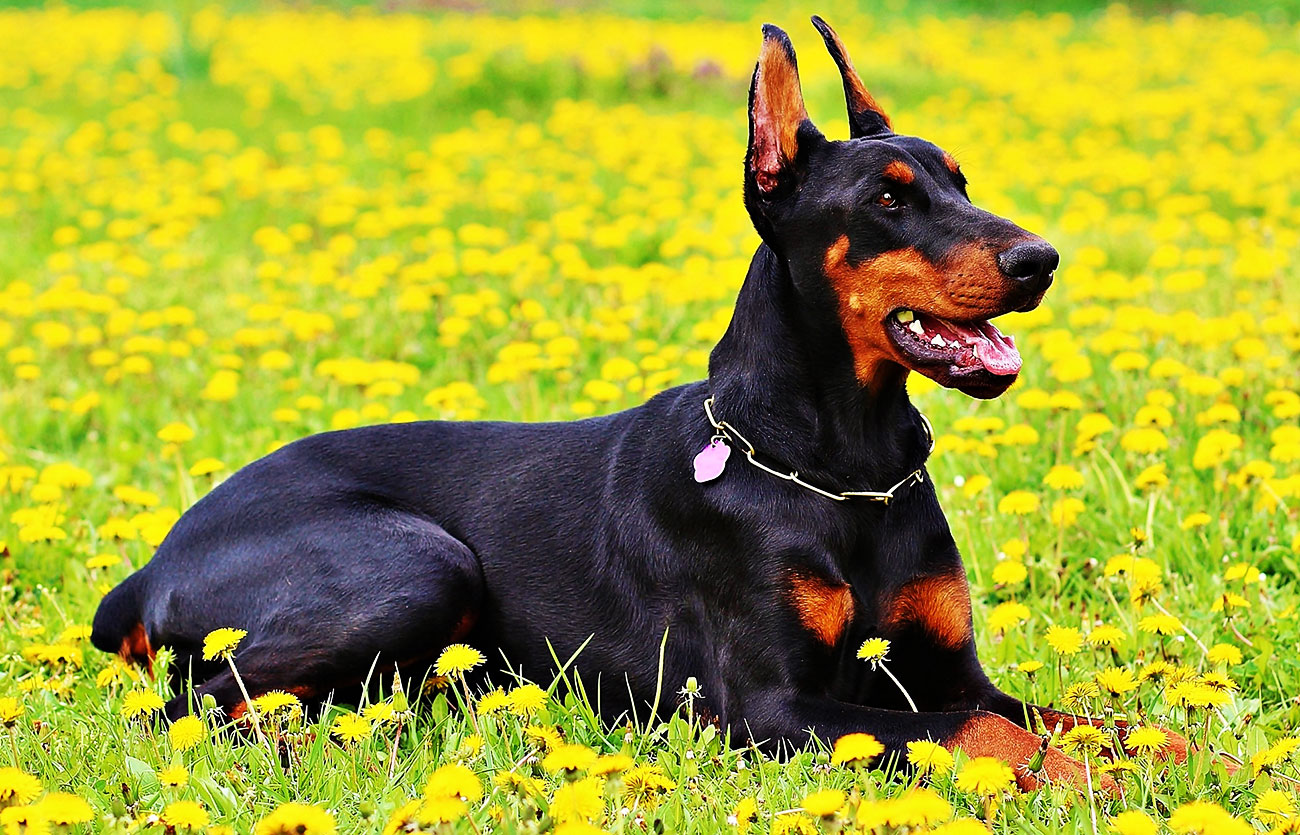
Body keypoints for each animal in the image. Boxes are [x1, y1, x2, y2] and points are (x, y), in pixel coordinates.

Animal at [94, 17, 1190, 785]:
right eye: (888, 198)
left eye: (961, 181)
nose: (1040, 260)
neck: (839, 467)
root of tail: (149, 565)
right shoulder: (770, 709)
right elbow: (984, 732)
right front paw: (1086, 784)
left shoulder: (947, 667)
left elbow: (1089, 716)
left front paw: (1195, 761)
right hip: (417, 563)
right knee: (193, 706)